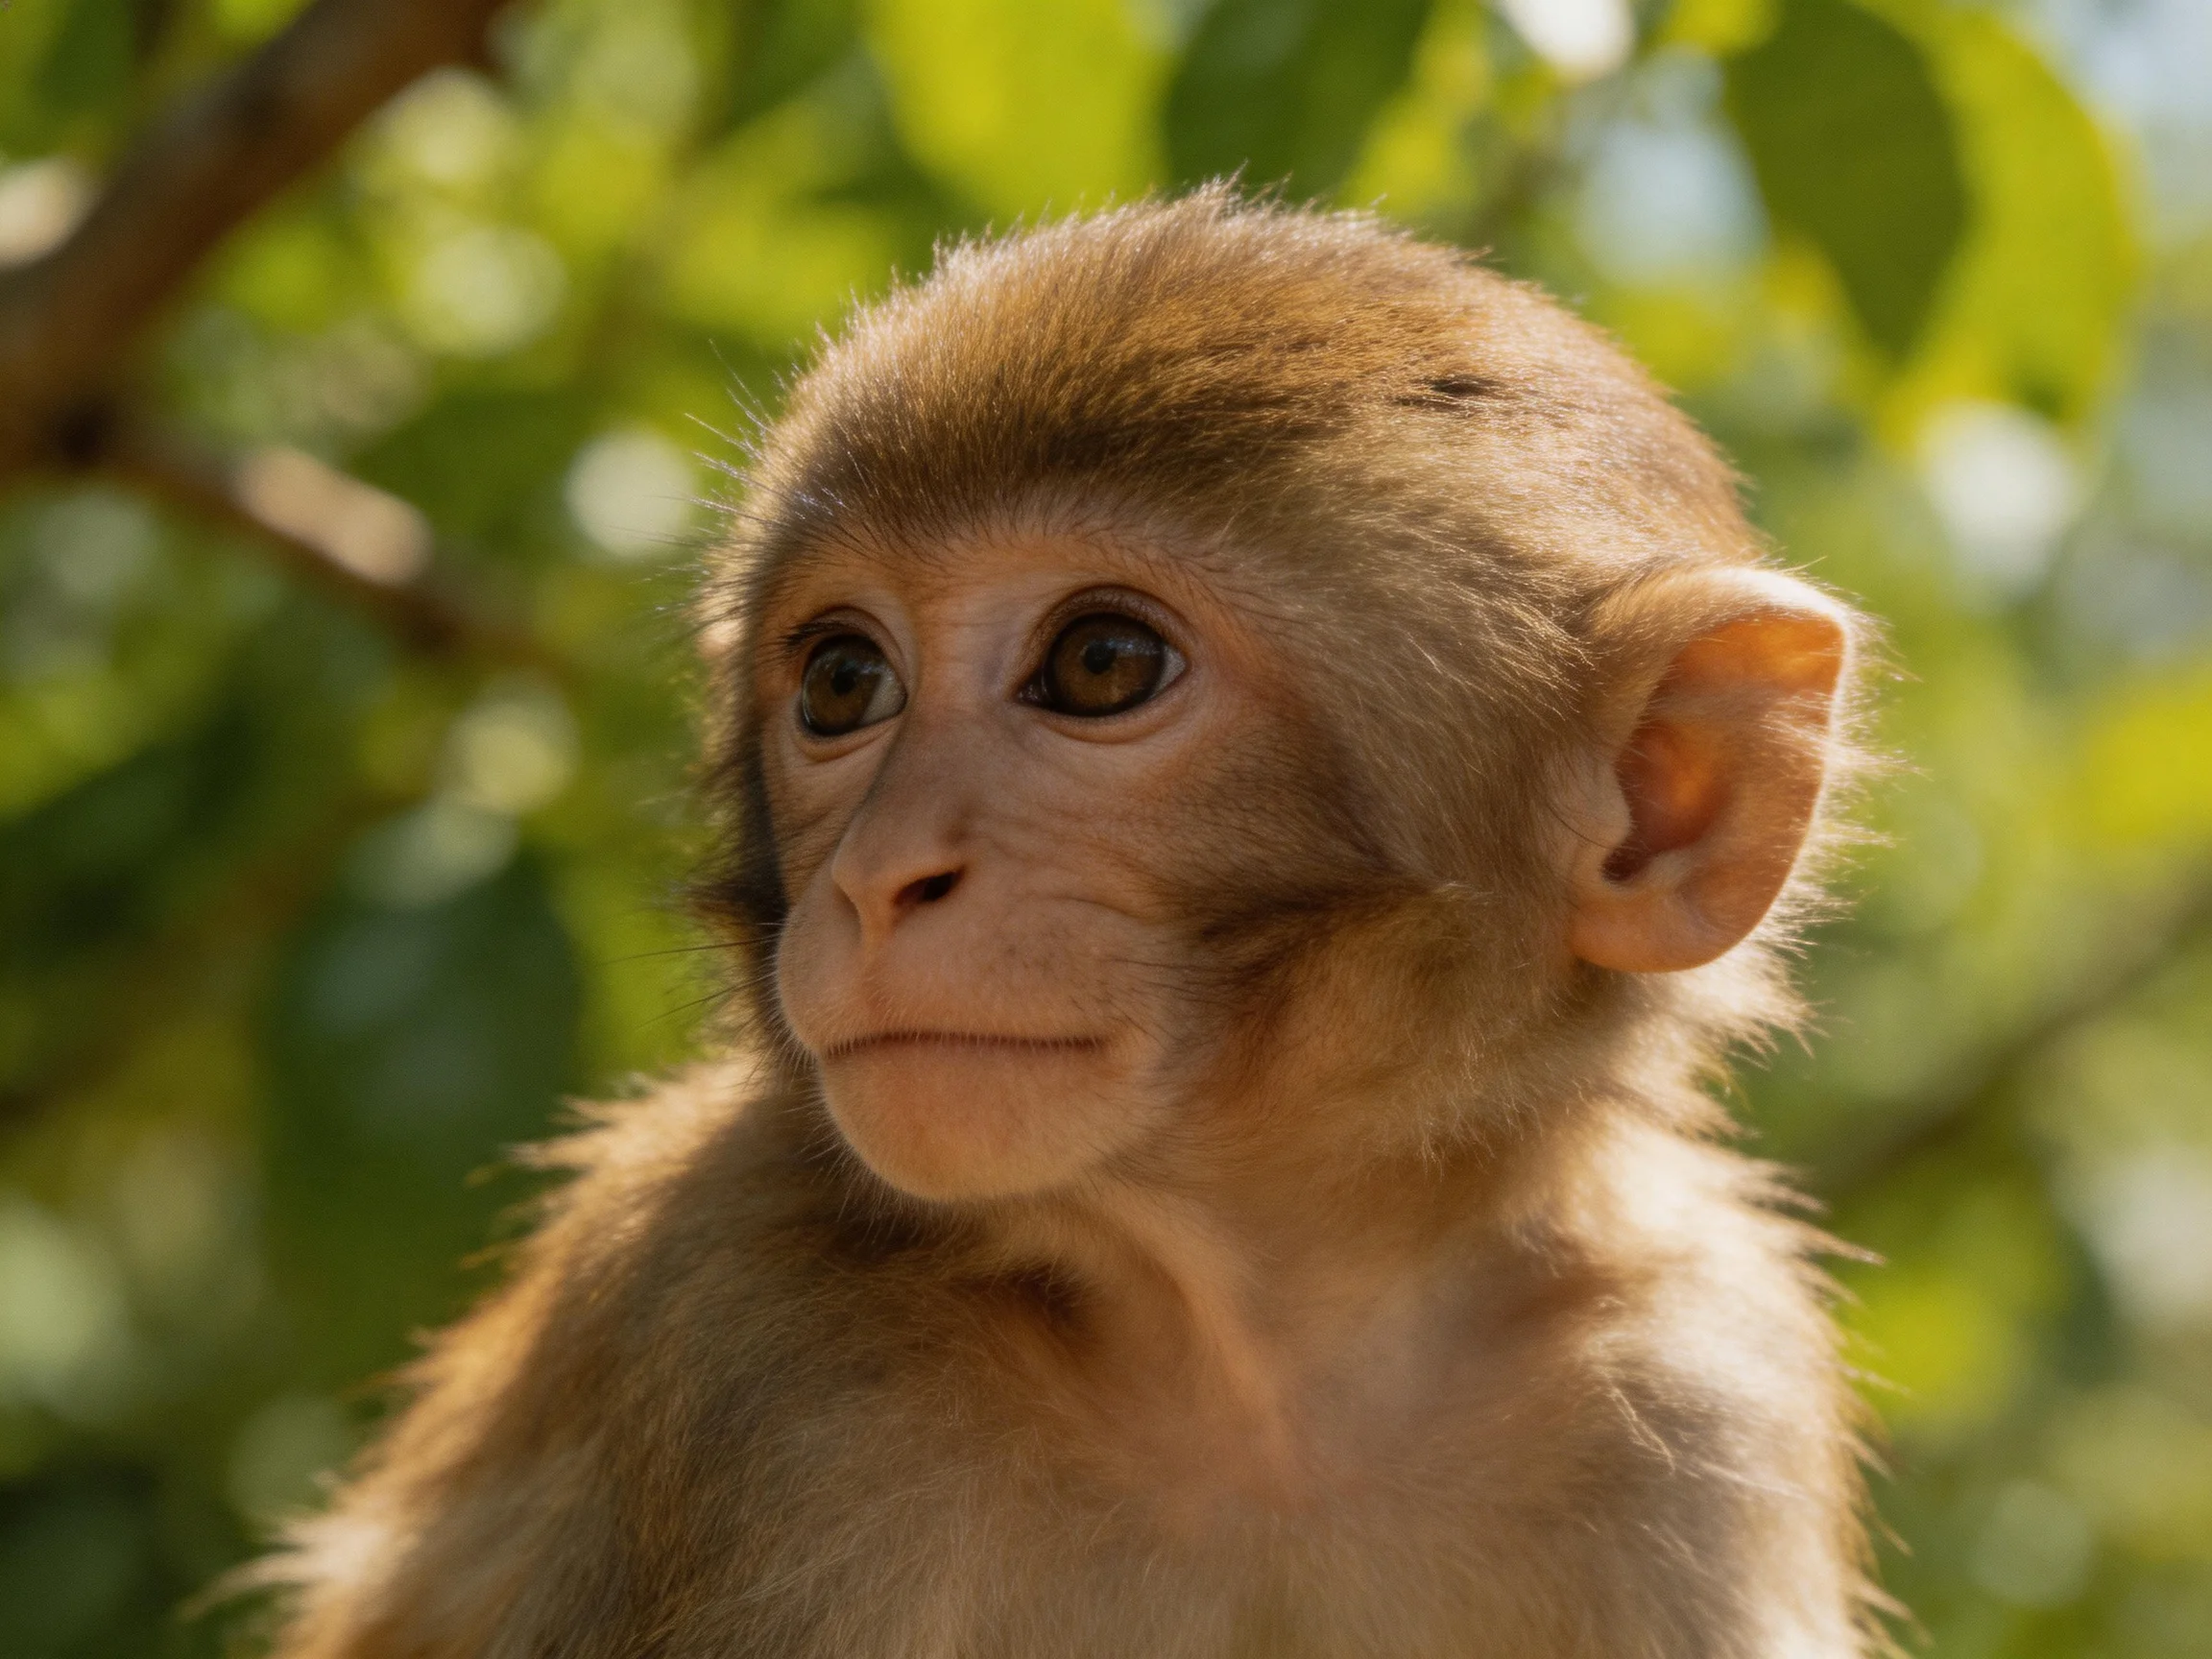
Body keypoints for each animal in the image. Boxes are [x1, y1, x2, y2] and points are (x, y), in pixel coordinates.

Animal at [255, 188, 1883, 1658]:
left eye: (1102, 663)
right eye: (842, 682)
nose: (880, 877)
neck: (1257, 1372)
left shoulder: (1701, 1393)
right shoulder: (744, 1359)